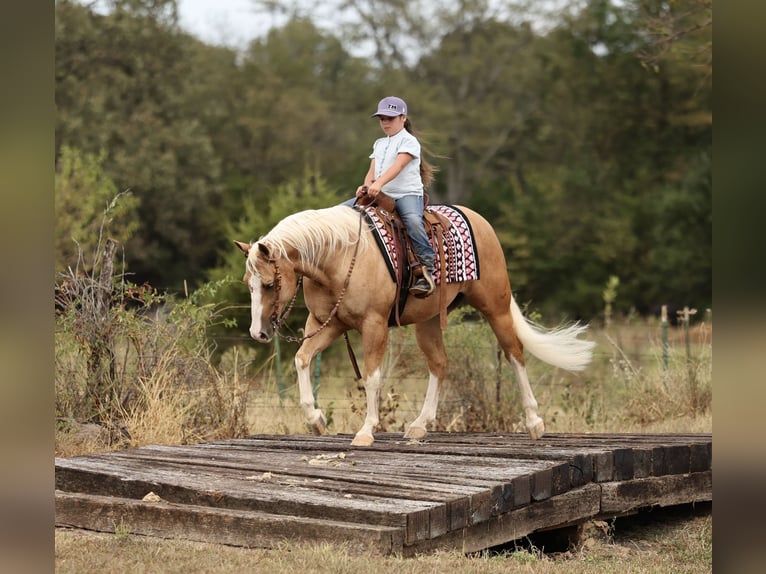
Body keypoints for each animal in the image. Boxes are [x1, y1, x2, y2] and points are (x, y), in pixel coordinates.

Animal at [234, 204, 595, 446]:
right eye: (248, 284)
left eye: (269, 284)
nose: (258, 333)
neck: (338, 258)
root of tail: (477, 219)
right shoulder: (329, 324)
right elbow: (302, 359)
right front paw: (316, 420)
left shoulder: (374, 325)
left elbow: (372, 376)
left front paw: (366, 431)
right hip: (429, 321)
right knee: (439, 363)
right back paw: (420, 424)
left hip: (495, 306)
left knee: (514, 353)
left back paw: (534, 422)